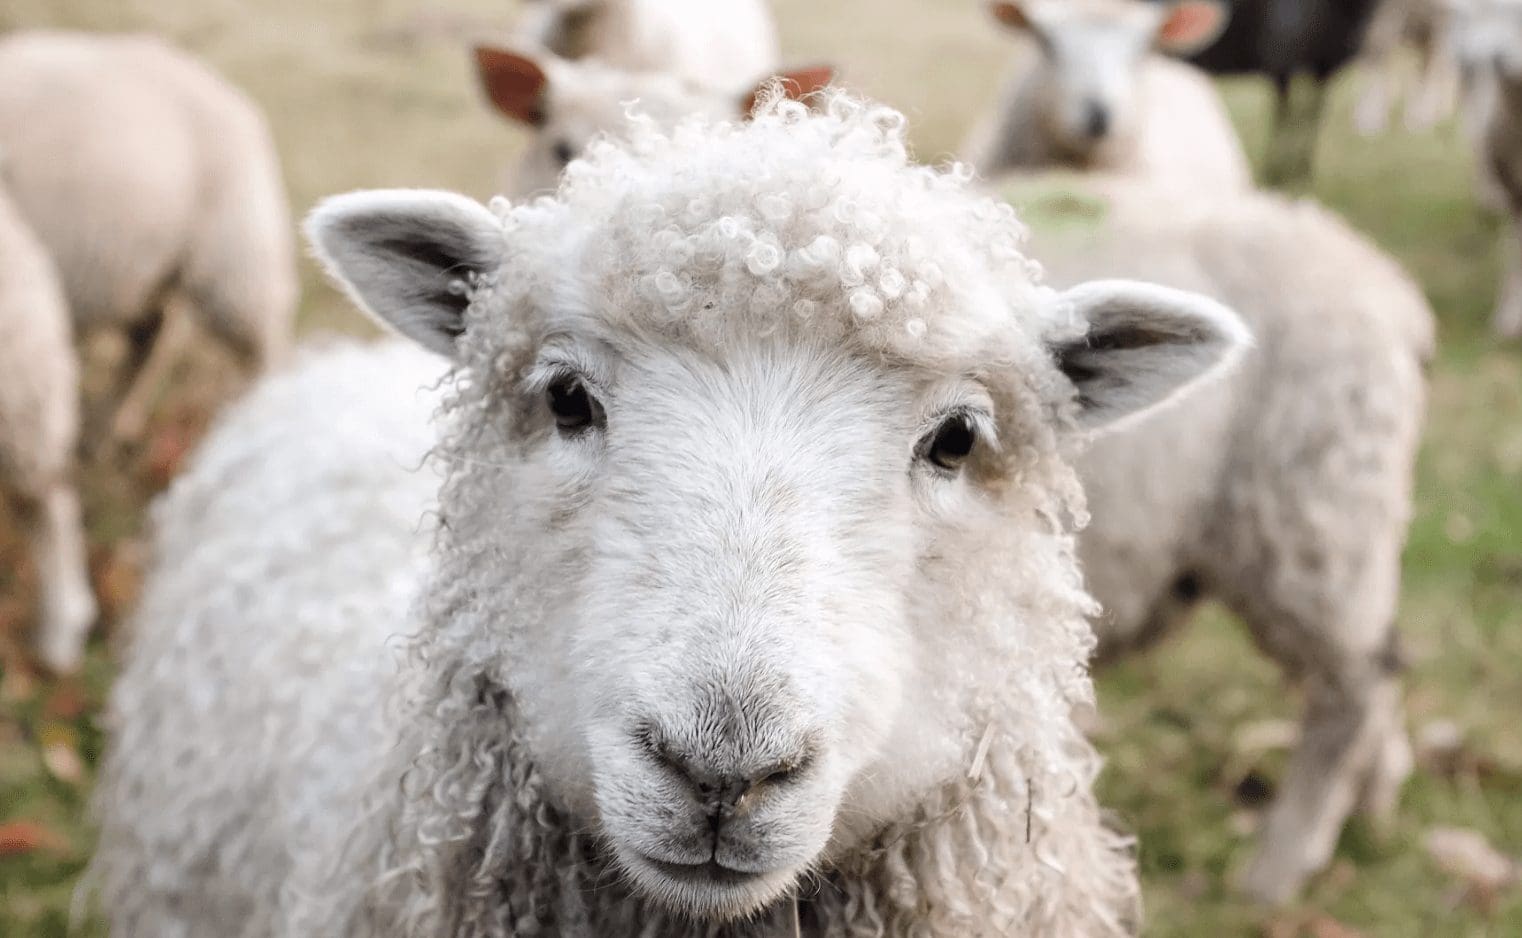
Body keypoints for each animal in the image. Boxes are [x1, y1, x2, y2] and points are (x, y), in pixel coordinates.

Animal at [0, 30, 296, 446]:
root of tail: (233, 97)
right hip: (143, 266)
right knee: (150, 337)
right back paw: (107, 428)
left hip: (234, 256)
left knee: (263, 346)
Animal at [996, 172, 1434, 902]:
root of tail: (1389, 287)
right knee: (1383, 662)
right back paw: (1375, 804)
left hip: (1308, 510)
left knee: (1357, 686)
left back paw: (1280, 868)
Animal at [1183, 0, 1384, 185]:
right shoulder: (1282, 62)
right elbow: (1286, 119)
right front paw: (1277, 175)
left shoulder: (1324, 69)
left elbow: (1311, 118)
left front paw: (1302, 173)